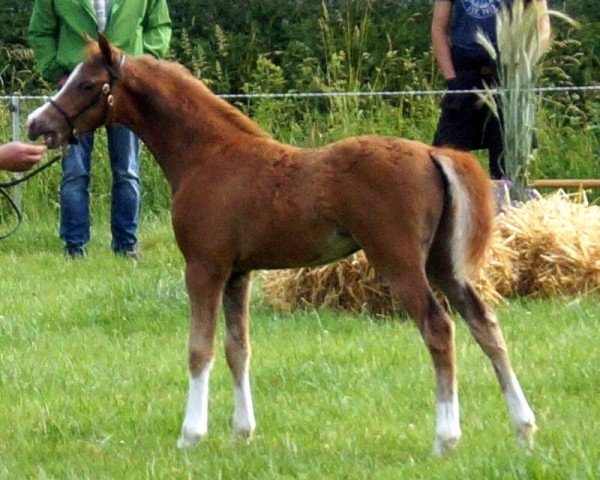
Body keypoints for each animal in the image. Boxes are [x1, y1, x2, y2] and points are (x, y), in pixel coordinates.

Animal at [25, 35, 536, 456]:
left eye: (87, 83)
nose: (36, 124)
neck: (207, 155)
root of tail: (433, 153)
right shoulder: (238, 272)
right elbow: (238, 348)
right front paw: (242, 433)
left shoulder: (203, 267)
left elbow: (199, 349)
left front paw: (191, 435)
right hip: (444, 264)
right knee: (485, 325)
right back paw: (523, 427)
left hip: (401, 263)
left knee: (439, 329)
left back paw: (446, 438)